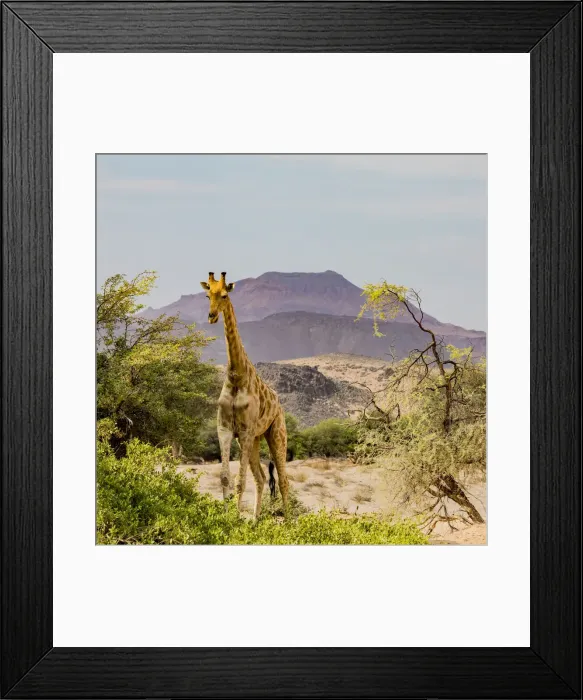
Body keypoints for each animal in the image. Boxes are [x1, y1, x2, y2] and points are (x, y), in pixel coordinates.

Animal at [200, 272, 289, 519]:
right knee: (261, 477)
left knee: (284, 480)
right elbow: (225, 478)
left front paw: (235, 519)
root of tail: (279, 403)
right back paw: (255, 520)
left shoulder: (246, 431)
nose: (211, 316)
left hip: (276, 433)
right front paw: (228, 518)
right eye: (207, 295)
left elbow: (240, 482)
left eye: (224, 295)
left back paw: (290, 521)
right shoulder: (226, 430)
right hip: (255, 440)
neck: (235, 376)